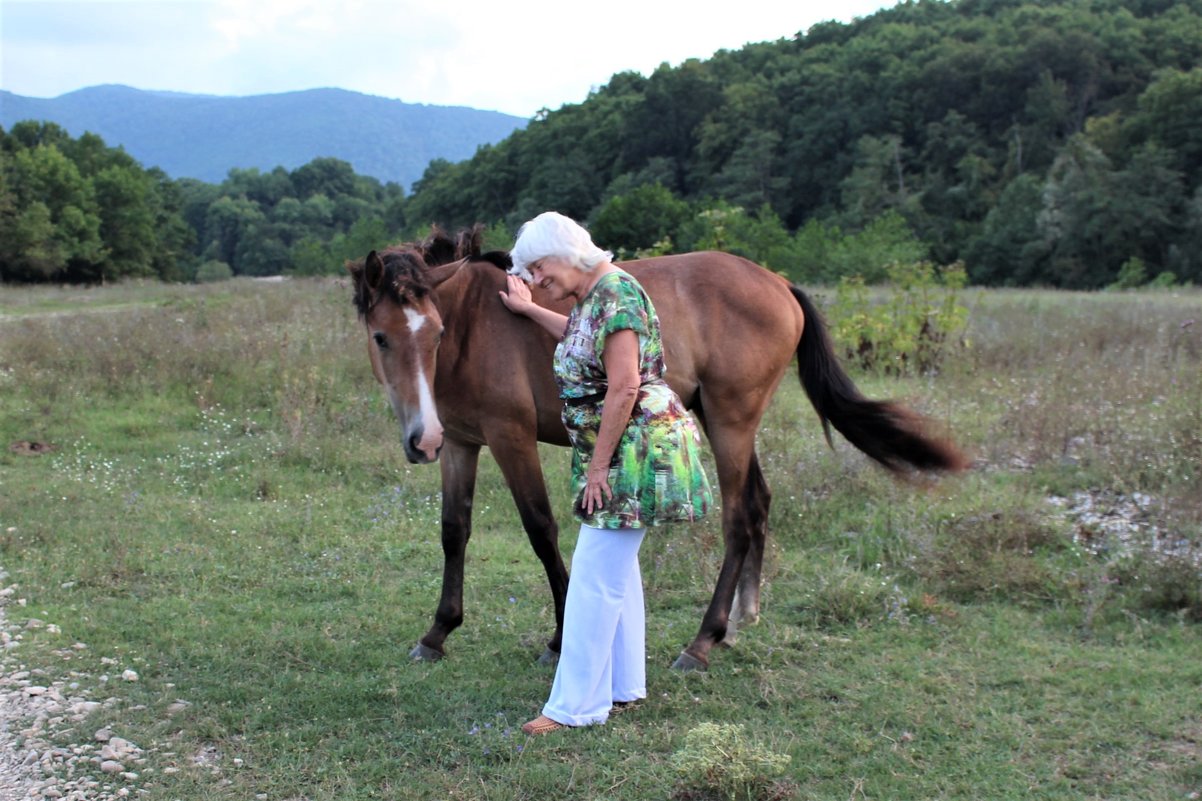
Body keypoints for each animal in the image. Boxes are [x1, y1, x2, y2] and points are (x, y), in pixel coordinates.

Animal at [348, 224, 966, 668]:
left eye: (435, 332)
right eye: (382, 336)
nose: (420, 439)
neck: (474, 325)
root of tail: (779, 284)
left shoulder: (510, 437)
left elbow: (541, 530)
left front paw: (560, 637)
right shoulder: (460, 443)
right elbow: (454, 532)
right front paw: (437, 632)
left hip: (731, 421)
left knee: (739, 519)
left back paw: (703, 641)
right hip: (723, 419)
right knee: (759, 503)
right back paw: (738, 622)